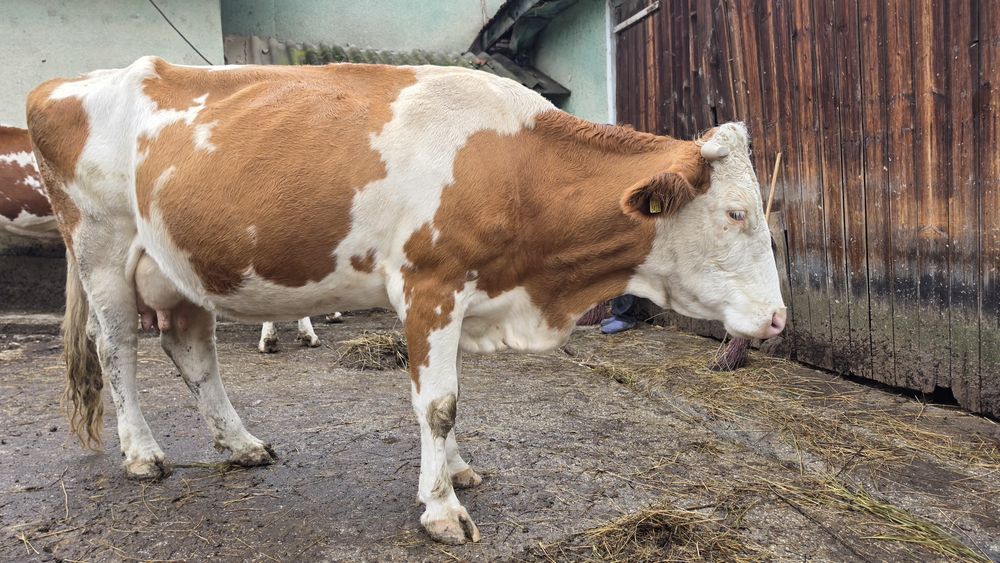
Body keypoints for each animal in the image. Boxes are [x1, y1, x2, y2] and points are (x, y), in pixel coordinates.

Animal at [26, 57, 786, 545]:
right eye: (736, 213)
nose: (779, 318)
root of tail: (66, 83)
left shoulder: (466, 291)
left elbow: (450, 402)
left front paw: (455, 471)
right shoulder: (431, 283)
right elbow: (438, 403)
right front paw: (440, 507)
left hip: (179, 265)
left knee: (190, 350)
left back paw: (241, 443)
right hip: (101, 247)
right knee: (117, 348)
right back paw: (142, 452)